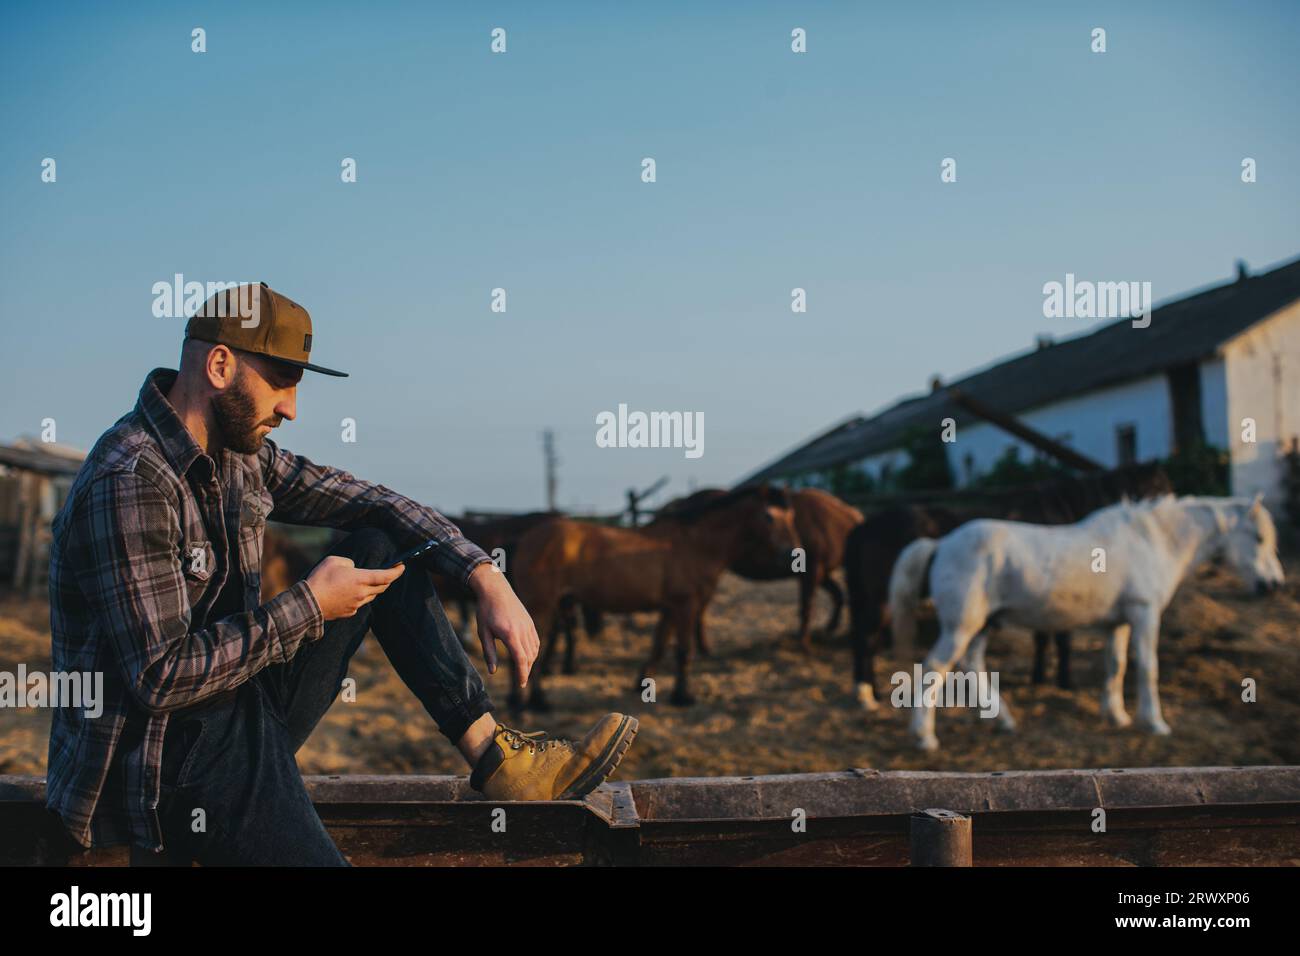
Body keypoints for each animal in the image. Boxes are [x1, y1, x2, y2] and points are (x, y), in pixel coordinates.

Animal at [509, 486, 795, 712]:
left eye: (791, 516)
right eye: (769, 516)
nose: (791, 553)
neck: (695, 544)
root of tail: (525, 539)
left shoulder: (671, 608)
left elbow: (659, 643)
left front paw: (642, 681)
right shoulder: (685, 604)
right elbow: (683, 650)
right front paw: (683, 696)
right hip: (541, 607)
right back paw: (533, 703)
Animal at [847, 463, 1175, 712]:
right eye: (1160, 487)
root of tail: (865, 525)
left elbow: (1043, 638)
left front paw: (1039, 677)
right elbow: (1061, 639)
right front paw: (1063, 680)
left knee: (866, 640)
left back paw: (870, 691)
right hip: (881, 602)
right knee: (866, 640)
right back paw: (866, 695)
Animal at [889, 496, 1284, 749]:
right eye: (1259, 538)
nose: (1274, 585)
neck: (1150, 540)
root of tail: (941, 544)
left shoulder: (1118, 623)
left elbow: (1116, 664)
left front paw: (1116, 716)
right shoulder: (1144, 613)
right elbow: (1147, 668)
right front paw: (1154, 722)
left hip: (983, 624)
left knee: (972, 665)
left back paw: (1002, 720)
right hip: (962, 626)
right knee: (934, 668)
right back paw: (924, 737)